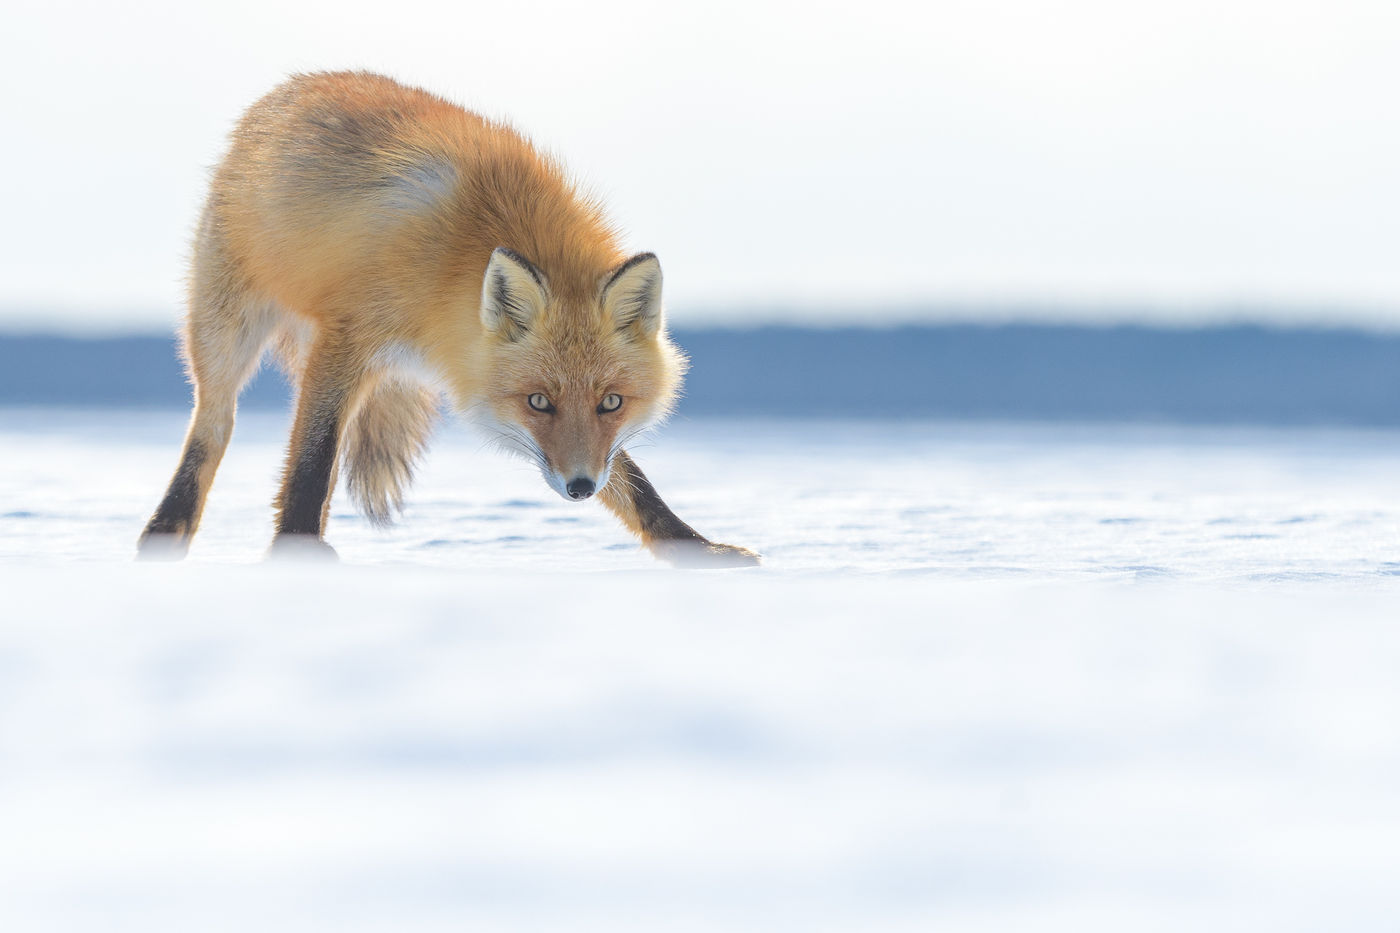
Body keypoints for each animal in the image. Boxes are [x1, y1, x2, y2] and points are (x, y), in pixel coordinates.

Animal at [136, 68, 761, 563]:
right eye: (538, 401)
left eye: (611, 403)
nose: (580, 488)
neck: (450, 278)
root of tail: (286, 91)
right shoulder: (346, 340)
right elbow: (312, 461)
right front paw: (298, 554)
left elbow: (635, 484)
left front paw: (695, 551)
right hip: (227, 328)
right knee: (215, 424)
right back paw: (166, 529)